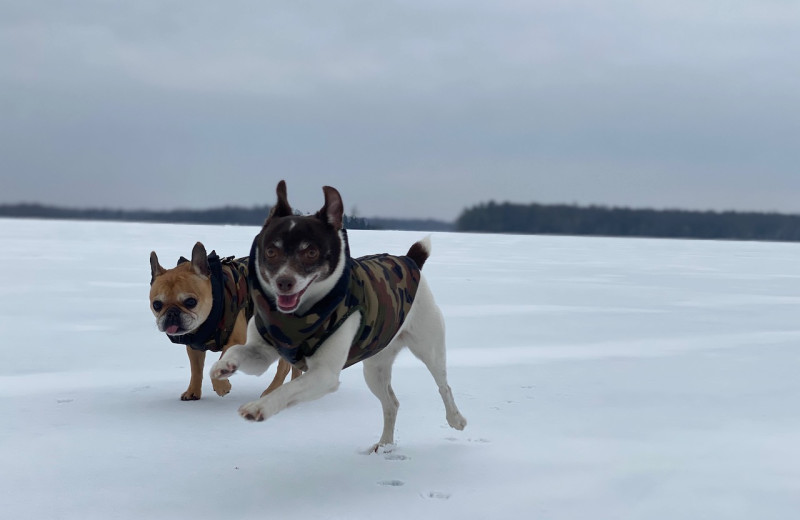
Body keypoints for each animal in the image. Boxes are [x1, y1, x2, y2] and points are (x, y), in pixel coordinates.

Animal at [149, 242, 296, 400]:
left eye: (190, 302)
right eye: (156, 305)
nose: (171, 313)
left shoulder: (236, 341)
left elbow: (221, 360)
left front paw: (221, 386)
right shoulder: (194, 348)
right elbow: (196, 370)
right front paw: (193, 391)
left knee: (284, 366)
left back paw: (271, 391)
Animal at [211, 183, 468, 450]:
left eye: (311, 252)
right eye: (271, 251)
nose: (284, 282)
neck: (297, 318)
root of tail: (409, 260)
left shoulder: (324, 375)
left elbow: (287, 389)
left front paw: (259, 407)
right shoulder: (262, 352)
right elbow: (238, 351)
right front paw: (224, 366)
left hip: (429, 348)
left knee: (444, 386)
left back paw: (456, 419)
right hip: (375, 367)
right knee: (391, 403)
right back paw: (384, 445)